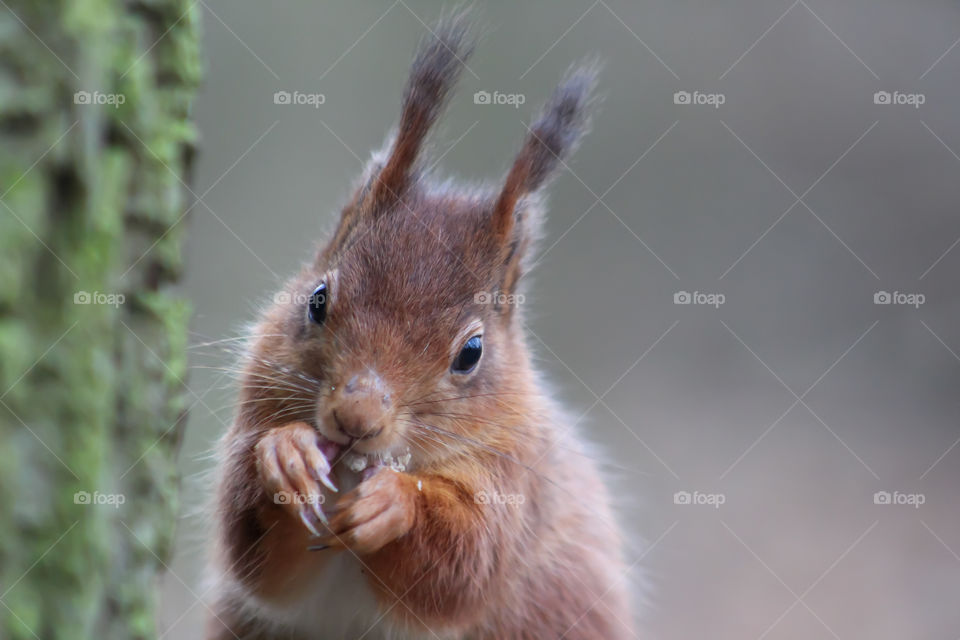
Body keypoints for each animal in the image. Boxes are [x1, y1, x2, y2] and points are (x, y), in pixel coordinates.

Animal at [206, 14, 634, 640]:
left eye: (472, 352)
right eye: (317, 301)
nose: (355, 418)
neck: (358, 468)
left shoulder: (515, 476)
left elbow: (462, 567)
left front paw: (395, 504)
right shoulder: (259, 402)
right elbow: (254, 557)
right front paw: (286, 456)